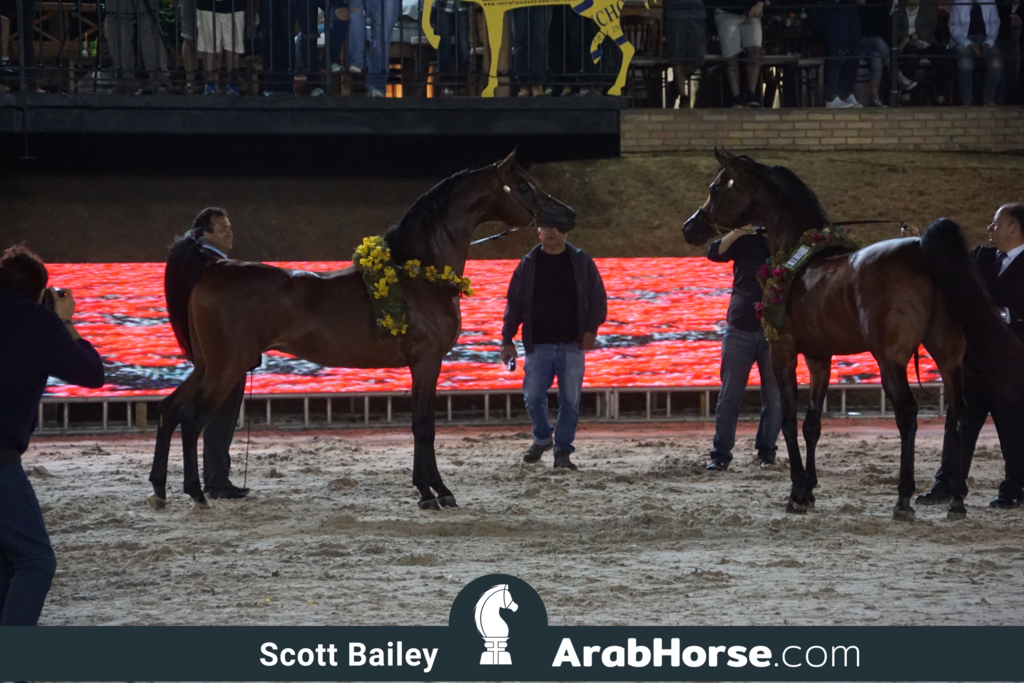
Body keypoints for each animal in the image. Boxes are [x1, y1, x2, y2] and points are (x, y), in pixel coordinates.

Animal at [149, 151, 576, 511]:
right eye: (523, 186)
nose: (569, 215)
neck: (419, 272)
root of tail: (212, 268)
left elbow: (421, 426)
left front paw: (428, 490)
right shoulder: (426, 362)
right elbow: (424, 426)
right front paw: (435, 492)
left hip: (206, 365)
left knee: (169, 409)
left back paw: (160, 490)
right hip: (227, 367)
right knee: (192, 418)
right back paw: (196, 494)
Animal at [682, 149, 1020, 520]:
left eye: (715, 188)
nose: (690, 227)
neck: (798, 257)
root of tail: (920, 249)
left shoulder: (782, 352)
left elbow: (787, 420)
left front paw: (796, 493)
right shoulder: (819, 358)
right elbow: (812, 423)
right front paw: (808, 490)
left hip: (890, 360)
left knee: (907, 413)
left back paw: (903, 499)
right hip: (947, 356)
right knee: (958, 413)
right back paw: (956, 498)